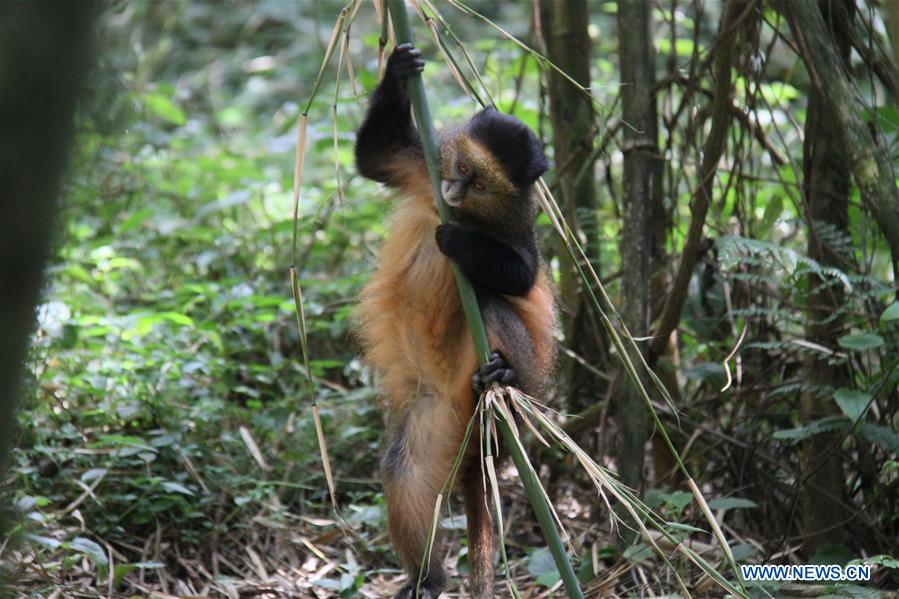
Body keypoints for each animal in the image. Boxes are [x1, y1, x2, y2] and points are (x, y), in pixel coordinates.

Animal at [354, 43, 555, 599]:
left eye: (480, 181)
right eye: (461, 165)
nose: (456, 189)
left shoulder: (516, 228)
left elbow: (521, 278)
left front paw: (458, 241)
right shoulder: (423, 165)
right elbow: (374, 157)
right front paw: (399, 68)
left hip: (499, 384)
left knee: (488, 303)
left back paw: (504, 375)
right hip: (435, 410)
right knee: (404, 470)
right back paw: (427, 579)